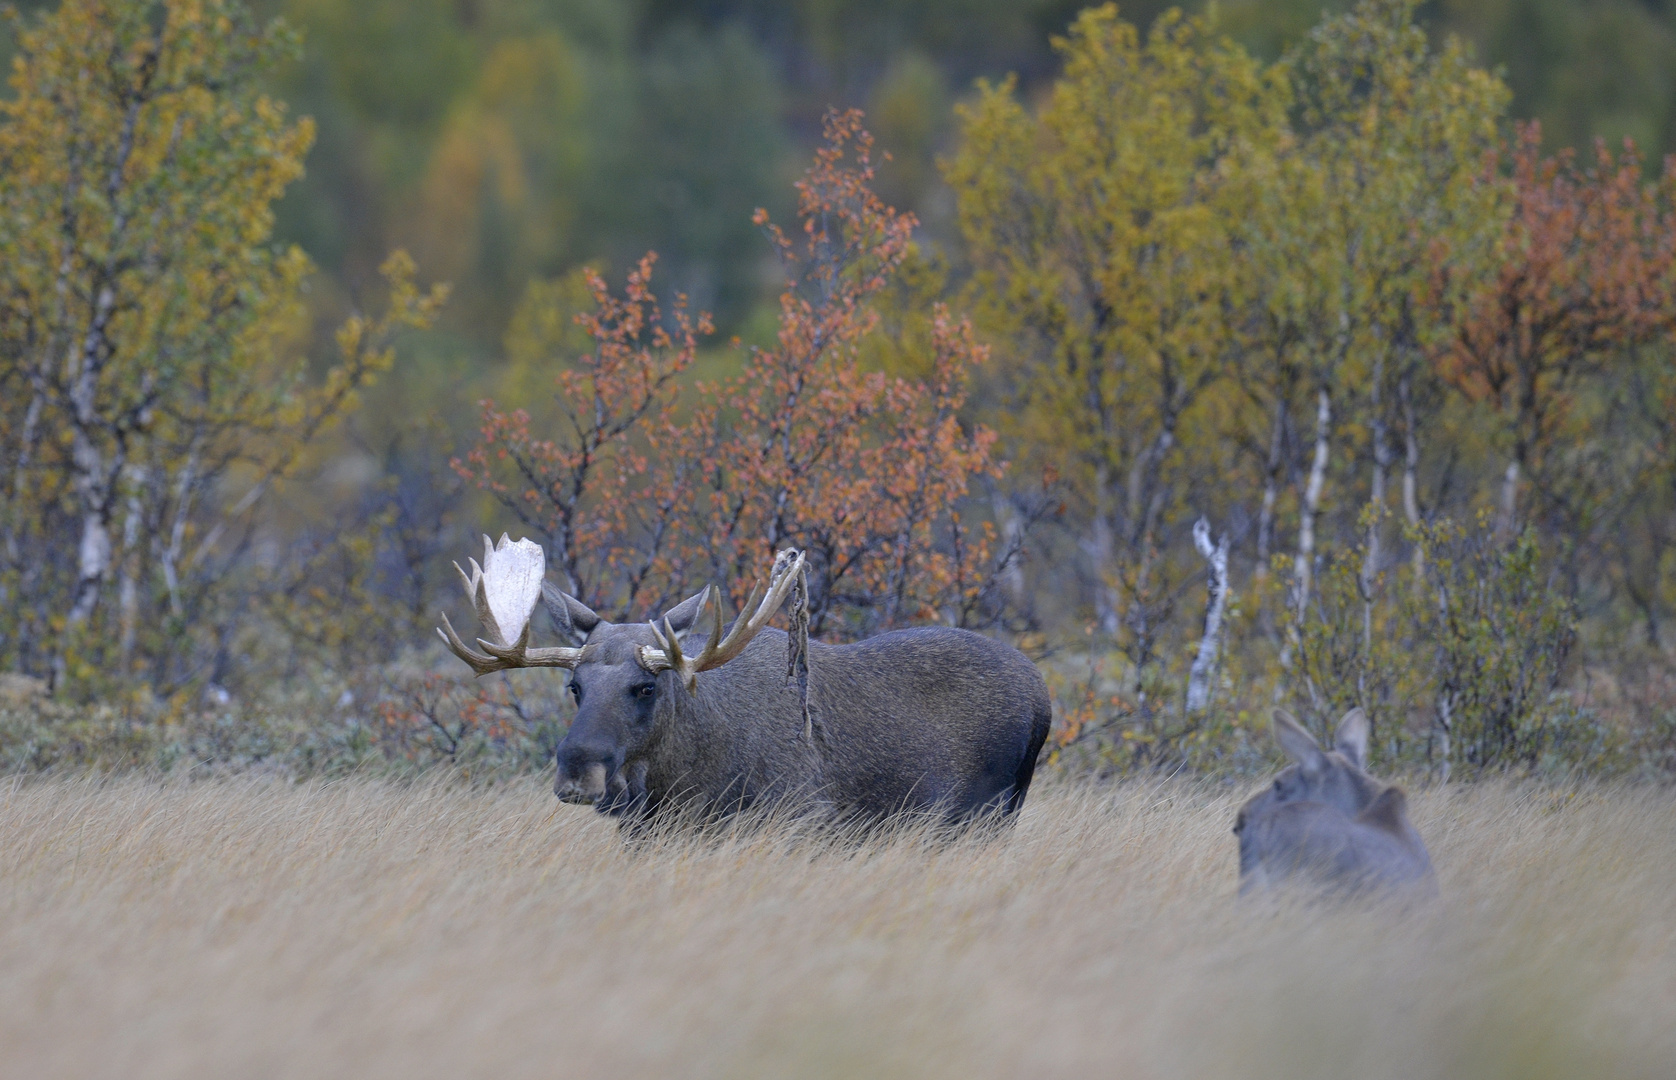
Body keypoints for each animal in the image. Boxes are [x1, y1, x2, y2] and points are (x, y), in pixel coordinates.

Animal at [439, 536, 1052, 821]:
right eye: (574, 687)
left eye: (646, 686)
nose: (577, 773)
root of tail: (1044, 695)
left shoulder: (804, 818)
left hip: (987, 813)